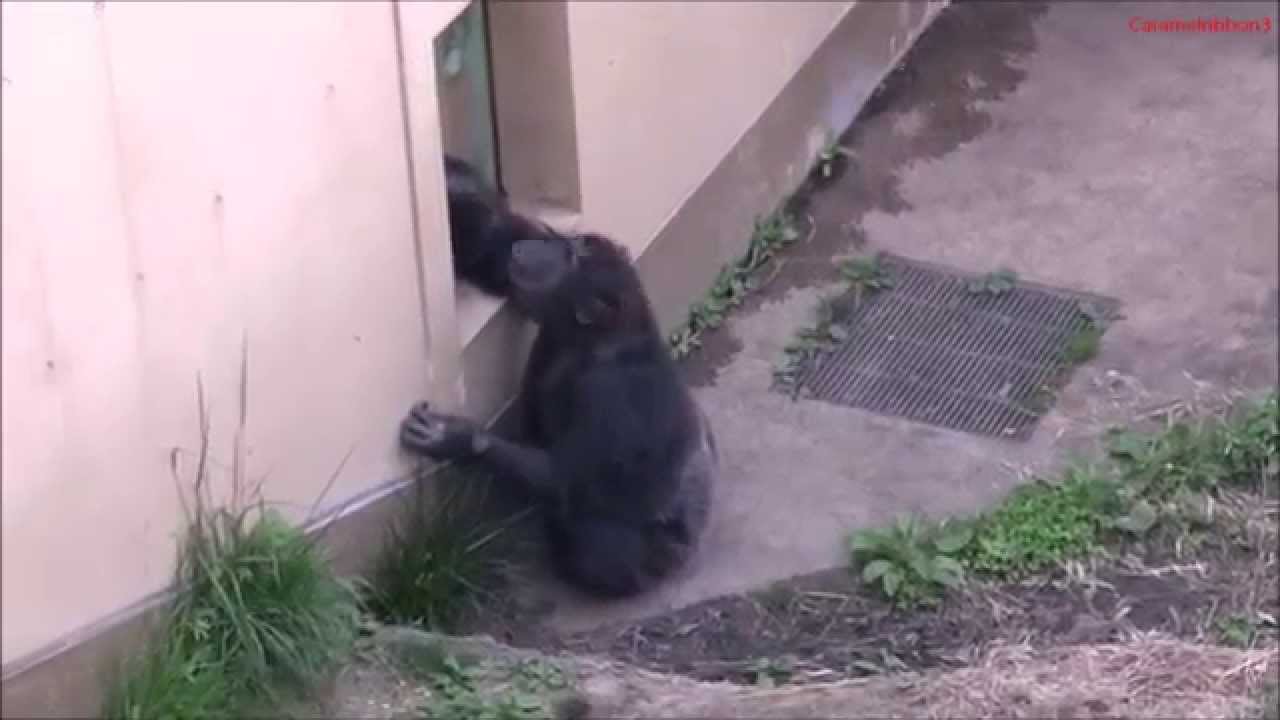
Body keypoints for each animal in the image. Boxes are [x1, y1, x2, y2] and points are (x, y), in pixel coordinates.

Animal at [400, 225, 718, 599]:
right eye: (570, 244)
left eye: (571, 258)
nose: (529, 248)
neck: (599, 338)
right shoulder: (549, 343)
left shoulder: (608, 394)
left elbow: (563, 477)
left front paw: (458, 439)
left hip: (657, 560)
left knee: (603, 542)